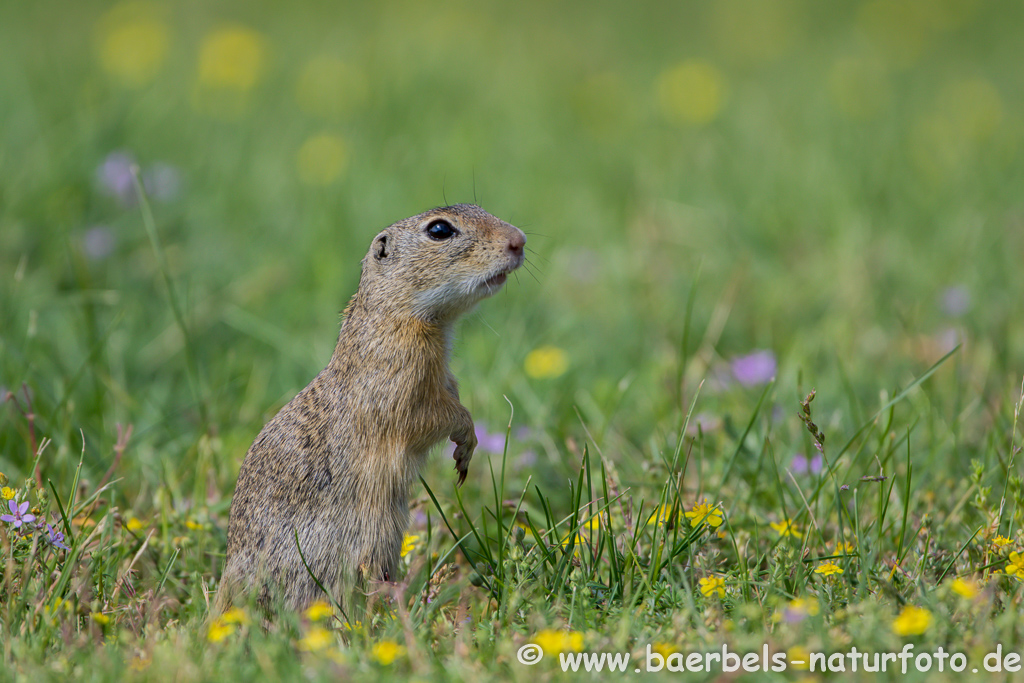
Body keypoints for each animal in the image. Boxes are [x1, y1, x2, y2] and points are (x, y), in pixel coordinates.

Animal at [218, 204, 528, 614]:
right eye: (440, 230)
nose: (519, 240)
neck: (398, 314)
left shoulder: (443, 379)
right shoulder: (402, 387)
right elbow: (433, 417)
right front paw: (465, 441)